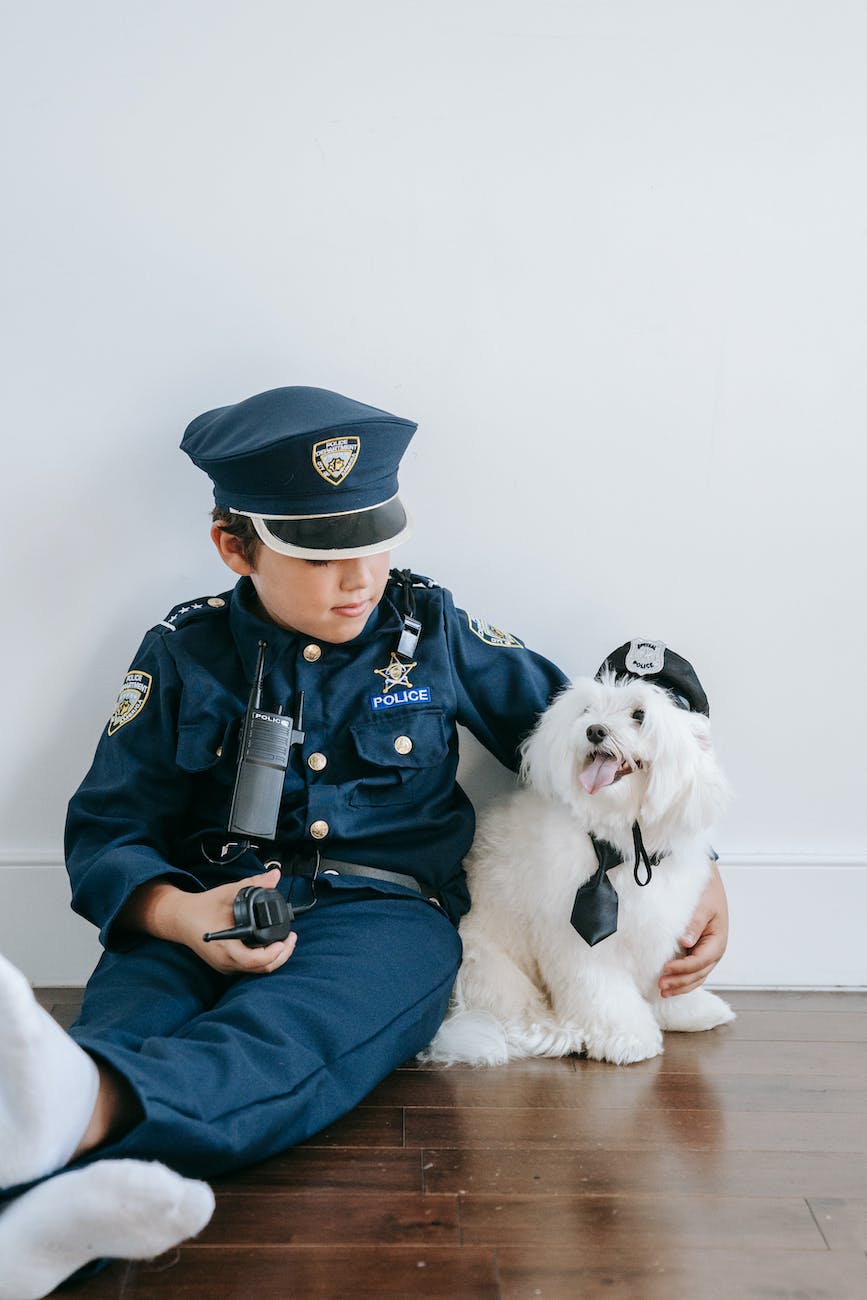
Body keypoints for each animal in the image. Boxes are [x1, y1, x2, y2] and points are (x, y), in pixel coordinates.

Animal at [423, 660, 738, 1066]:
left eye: (639, 715)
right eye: (588, 711)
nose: (595, 731)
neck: (621, 846)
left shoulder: (661, 922)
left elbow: (663, 980)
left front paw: (687, 1010)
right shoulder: (580, 945)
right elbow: (603, 994)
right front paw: (628, 1038)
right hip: (489, 969)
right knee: (514, 1018)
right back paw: (557, 1033)